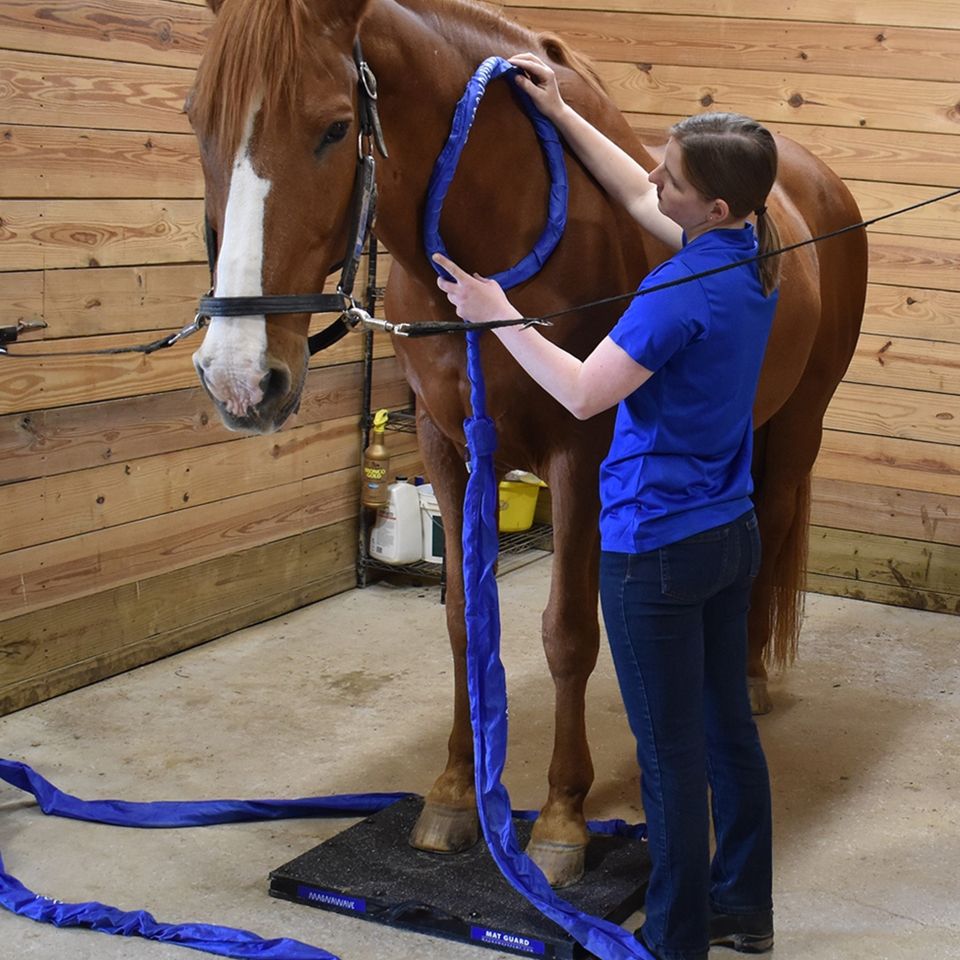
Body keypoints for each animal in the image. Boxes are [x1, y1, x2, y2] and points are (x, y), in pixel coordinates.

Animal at [186, 0, 867, 887]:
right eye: (197, 119)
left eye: (335, 129)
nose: (237, 376)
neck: (500, 230)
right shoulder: (449, 451)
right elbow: (462, 621)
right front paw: (452, 794)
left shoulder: (580, 456)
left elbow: (568, 632)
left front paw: (562, 821)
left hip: (795, 429)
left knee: (770, 536)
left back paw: (747, 680)